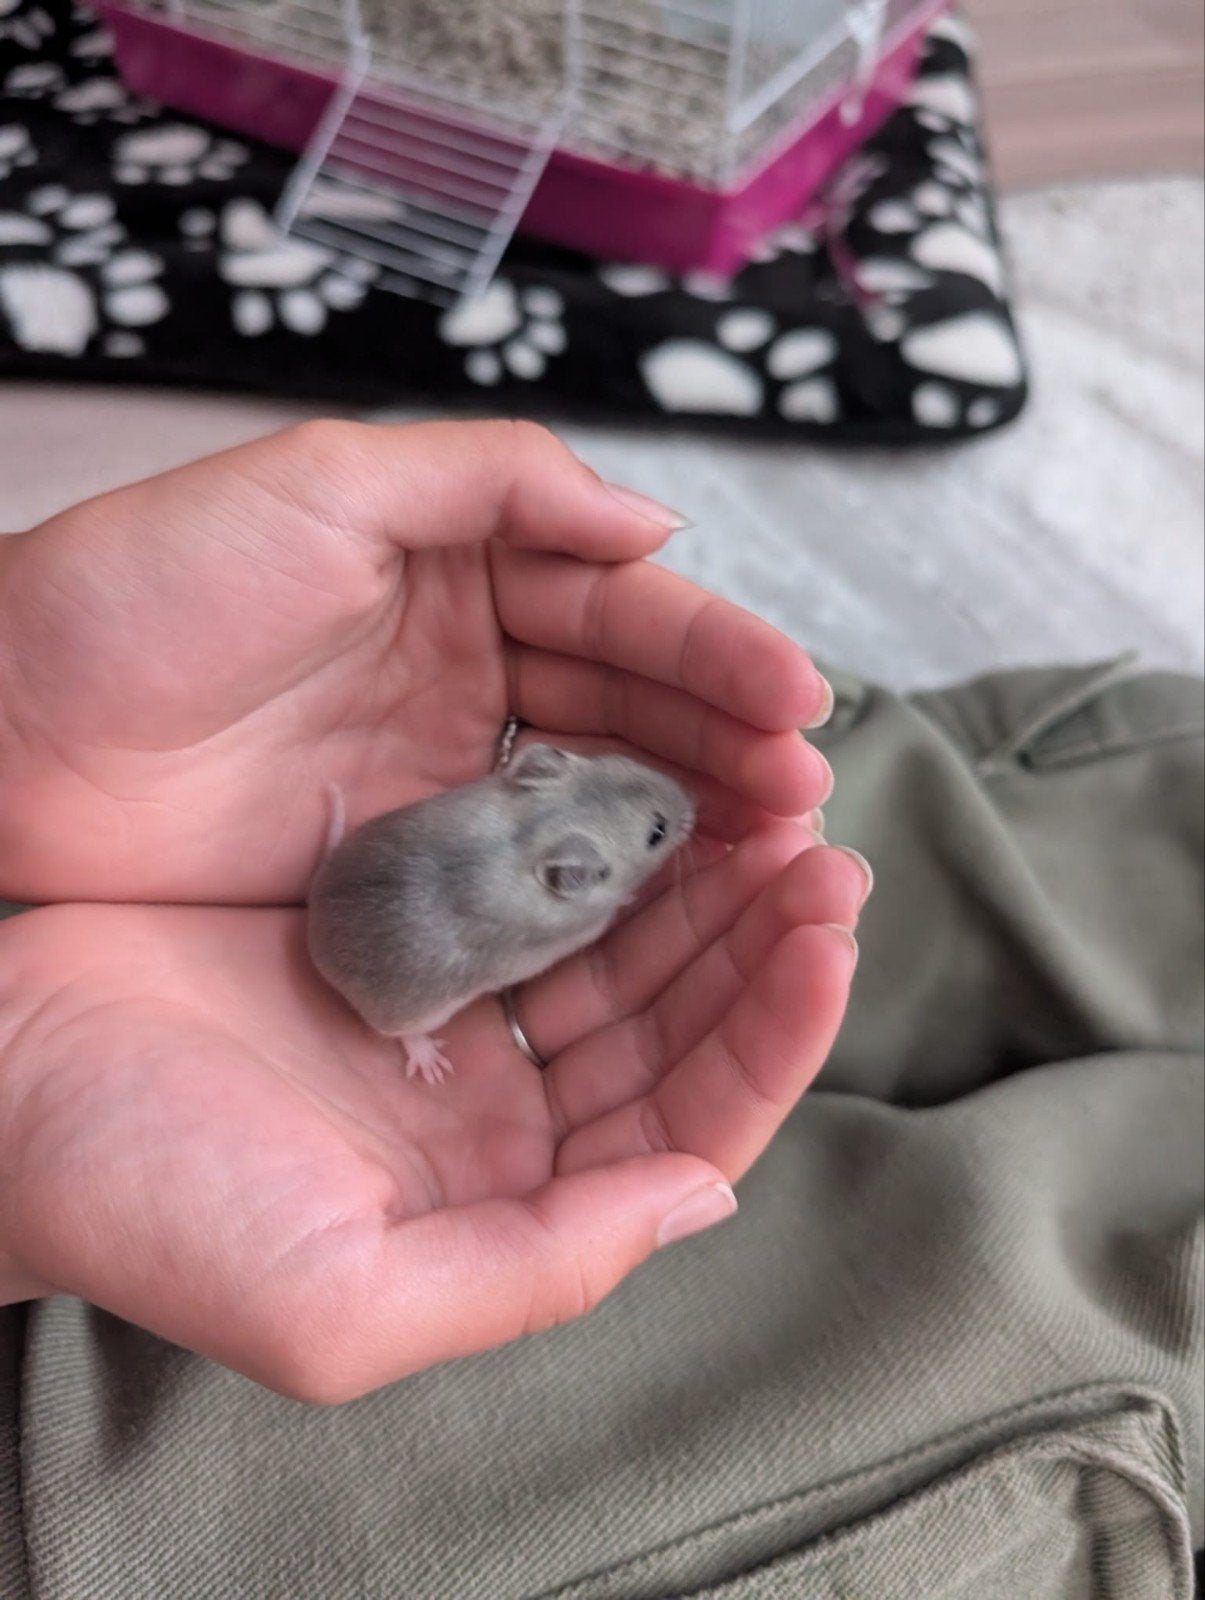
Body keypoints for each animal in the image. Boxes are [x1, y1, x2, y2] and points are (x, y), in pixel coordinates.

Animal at [307, 745, 695, 1083]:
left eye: (625, 762)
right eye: (657, 832)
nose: (693, 807)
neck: (538, 829)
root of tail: (316, 916)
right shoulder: (589, 926)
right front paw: (630, 896)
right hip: (419, 1014)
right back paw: (430, 1062)